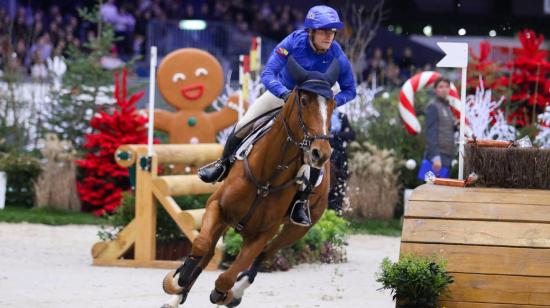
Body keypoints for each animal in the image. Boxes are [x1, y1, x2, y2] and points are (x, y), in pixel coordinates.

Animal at [161, 56, 340, 306]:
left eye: (332, 105)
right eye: (304, 101)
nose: (320, 153)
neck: (267, 177)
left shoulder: (263, 233)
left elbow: (228, 276)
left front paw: (226, 294)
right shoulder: (217, 208)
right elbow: (201, 245)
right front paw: (177, 280)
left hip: (296, 229)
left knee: (265, 255)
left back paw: (236, 291)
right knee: (208, 253)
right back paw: (178, 295)